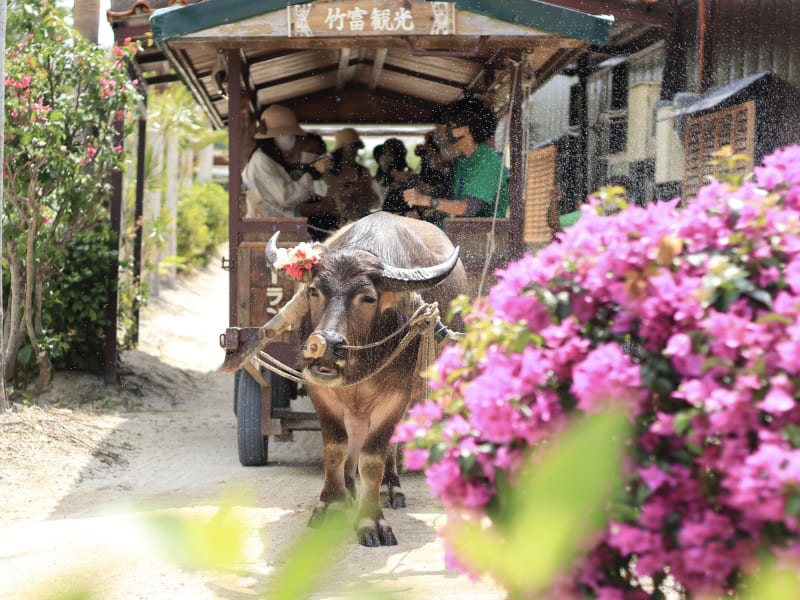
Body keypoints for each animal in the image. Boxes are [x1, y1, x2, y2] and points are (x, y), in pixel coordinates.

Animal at [266, 211, 466, 544]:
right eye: (314, 291)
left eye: (368, 298)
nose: (324, 345)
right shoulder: (321, 391)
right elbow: (335, 449)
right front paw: (331, 503)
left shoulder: (396, 396)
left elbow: (373, 458)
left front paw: (372, 520)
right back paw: (349, 486)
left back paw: (390, 487)